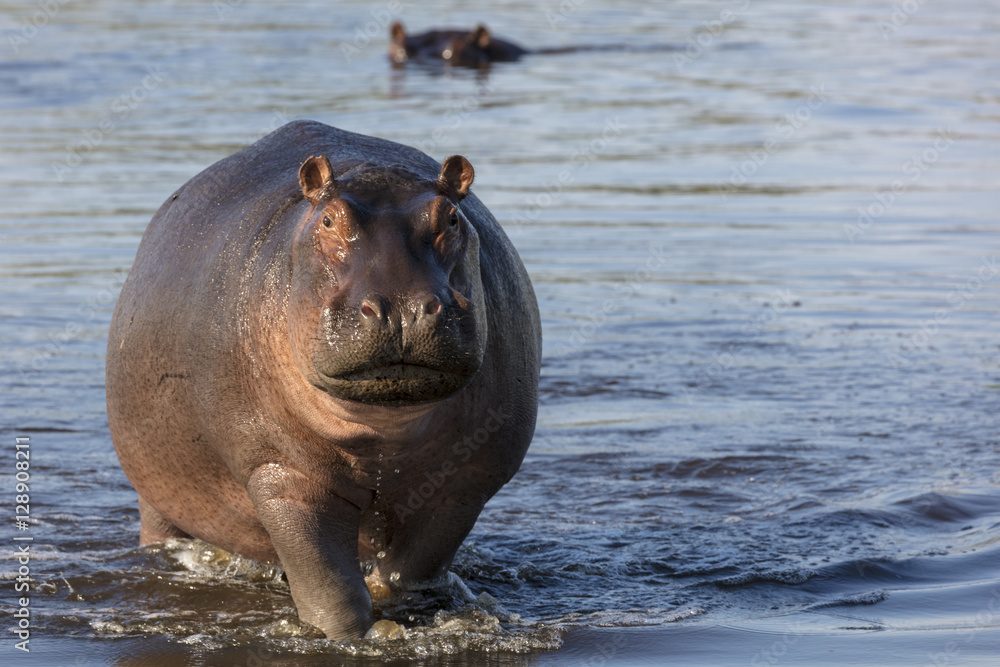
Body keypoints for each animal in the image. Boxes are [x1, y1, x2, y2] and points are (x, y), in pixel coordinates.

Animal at [105, 120, 540, 640]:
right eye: (329, 221)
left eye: (452, 218)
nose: (402, 306)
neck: (384, 427)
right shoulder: (282, 475)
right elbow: (331, 589)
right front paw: (351, 639)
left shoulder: (468, 477)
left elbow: (410, 571)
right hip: (155, 493)